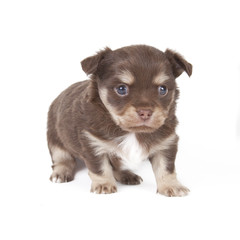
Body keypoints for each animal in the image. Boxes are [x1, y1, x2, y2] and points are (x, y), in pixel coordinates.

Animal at [47, 44, 192, 196]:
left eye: (162, 89)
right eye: (121, 89)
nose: (145, 112)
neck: (131, 132)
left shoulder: (166, 144)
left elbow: (166, 168)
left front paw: (172, 185)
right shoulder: (93, 144)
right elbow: (100, 168)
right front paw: (104, 184)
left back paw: (127, 175)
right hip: (55, 138)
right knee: (62, 159)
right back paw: (61, 173)